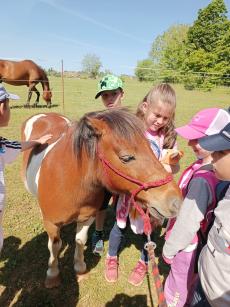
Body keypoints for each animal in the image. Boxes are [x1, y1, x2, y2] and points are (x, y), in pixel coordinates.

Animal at [21, 108, 181, 288]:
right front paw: (53, 274)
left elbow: (80, 240)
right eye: (126, 157)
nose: (176, 201)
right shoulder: (51, 223)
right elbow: (55, 246)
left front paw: (80, 267)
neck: (69, 181)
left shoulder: (87, 217)